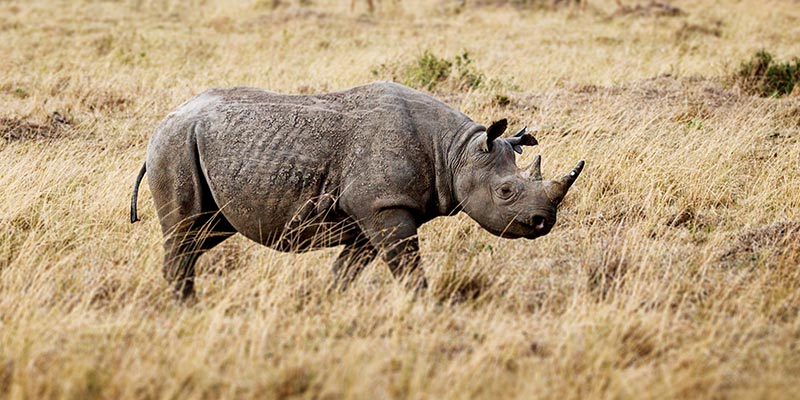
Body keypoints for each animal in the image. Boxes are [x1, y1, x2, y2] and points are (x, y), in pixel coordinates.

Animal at [130, 82, 584, 299]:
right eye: (506, 192)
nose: (543, 222)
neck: (456, 152)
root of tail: (164, 121)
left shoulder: (373, 209)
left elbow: (347, 270)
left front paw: (327, 305)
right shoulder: (384, 206)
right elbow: (408, 268)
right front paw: (424, 308)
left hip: (188, 144)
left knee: (202, 234)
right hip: (175, 144)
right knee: (185, 232)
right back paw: (187, 310)